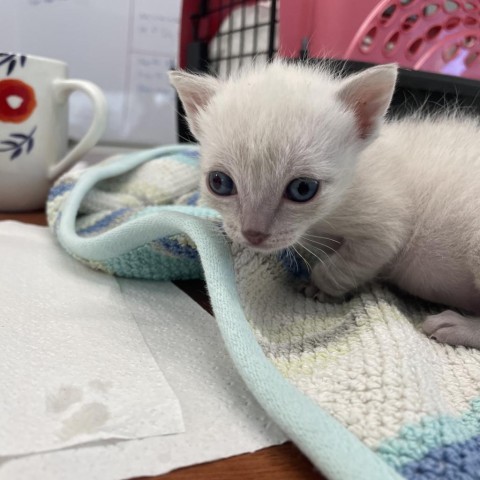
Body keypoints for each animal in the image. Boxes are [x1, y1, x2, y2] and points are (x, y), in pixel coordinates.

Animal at [170, 62, 480, 350]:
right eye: (219, 182)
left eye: (303, 189)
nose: (253, 234)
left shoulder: (385, 228)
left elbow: (339, 266)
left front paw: (320, 288)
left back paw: (457, 326)